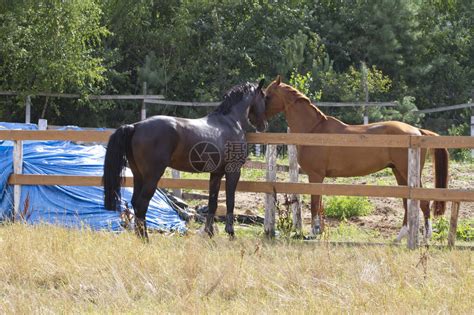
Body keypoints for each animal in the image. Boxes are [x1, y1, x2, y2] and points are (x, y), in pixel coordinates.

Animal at [103, 80, 266, 241]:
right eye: (264, 97)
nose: (264, 126)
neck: (230, 121)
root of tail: (136, 126)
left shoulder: (216, 173)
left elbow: (212, 203)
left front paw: (209, 233)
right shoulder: (233, 171)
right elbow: (230, 201)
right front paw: (231, 233)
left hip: (138, 175)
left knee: (135, 203)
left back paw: (140, 237)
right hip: (152, 177)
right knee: (142, 204)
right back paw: (146, 239)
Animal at [264, 77, 450, 242]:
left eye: (267, 95)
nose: (259, 120)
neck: (313, 130)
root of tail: (418, 131)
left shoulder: (315, 176)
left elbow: (315, 204)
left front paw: (313, 233)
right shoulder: (319, 177)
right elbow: (320, 204)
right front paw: (319, 232)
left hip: (407, 173)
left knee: (423, 201)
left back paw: (426, 238)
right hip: (400, 173)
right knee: (407, 203)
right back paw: (400, 237)